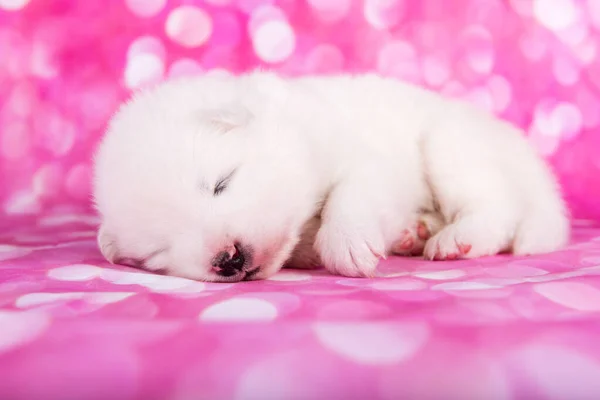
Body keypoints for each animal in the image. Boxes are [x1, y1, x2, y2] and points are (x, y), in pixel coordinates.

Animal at [92, 72, 568, 284]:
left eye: (221, 183)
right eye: (158, 250)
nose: (228, 259)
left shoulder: (369, 161)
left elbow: (350, 196)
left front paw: (347, 244)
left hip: (450, 145)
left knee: (498, 210)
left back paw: (455, 239)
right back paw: (416, 232)